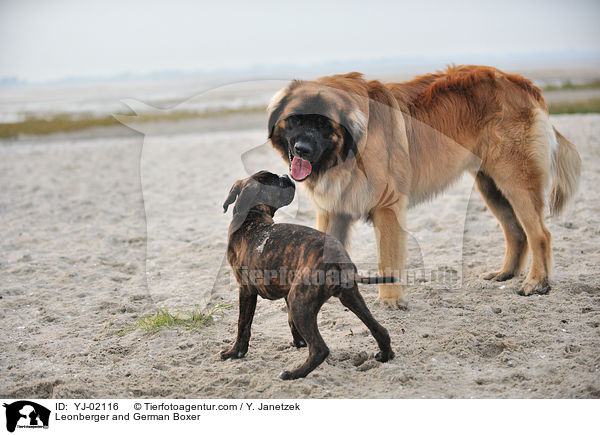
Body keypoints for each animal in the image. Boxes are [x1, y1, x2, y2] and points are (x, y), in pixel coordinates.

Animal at [223, 171, 396, 382]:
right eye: (277, 181)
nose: (286, 175)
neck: (251, 218)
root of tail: (338, 256)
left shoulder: (246, 290)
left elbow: (243, 324)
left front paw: (235, 352)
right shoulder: (286, 290)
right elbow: (290, 322)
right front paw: (299, 342)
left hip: (300, 303)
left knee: (320, 349)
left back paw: (292, 374)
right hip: (350, 298)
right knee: (380, 330)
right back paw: (385, 355)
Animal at [266, 66, 576, 308]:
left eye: (322, 123)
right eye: (295, 119)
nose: (302, 149)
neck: (348, 150)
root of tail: (522, 83)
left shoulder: (387, 206)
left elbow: (387, 258)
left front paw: (391, 300)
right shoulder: (333, 210)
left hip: (515, 181)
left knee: (540, 234)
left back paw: (536, 282)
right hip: (491, 186)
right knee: (515, 232)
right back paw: (505, 274)